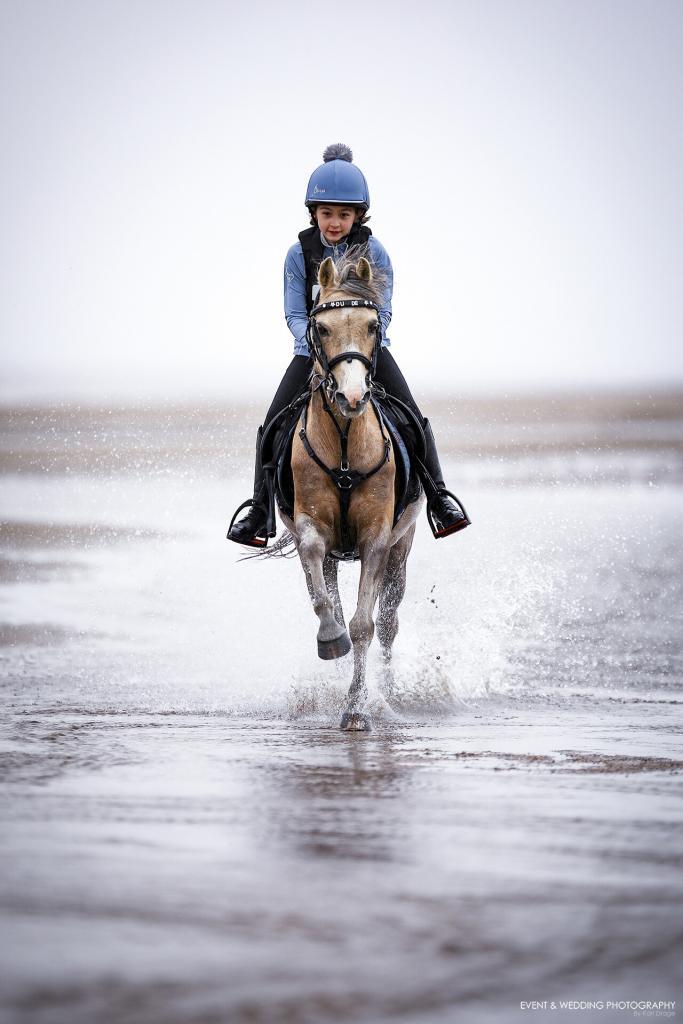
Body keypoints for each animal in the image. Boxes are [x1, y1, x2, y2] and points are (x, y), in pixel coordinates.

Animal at [278, 251, 421, 733]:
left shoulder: (377, 539)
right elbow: (330, 609)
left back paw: (389, 692)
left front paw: (357, 709)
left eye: (374, 325)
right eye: (321, 328)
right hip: (333, 559)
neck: (343, 443)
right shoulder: (311, 532)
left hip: (402, 549)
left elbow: (365, 626)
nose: (353, 396)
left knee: (390, 621)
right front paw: (330, 641)